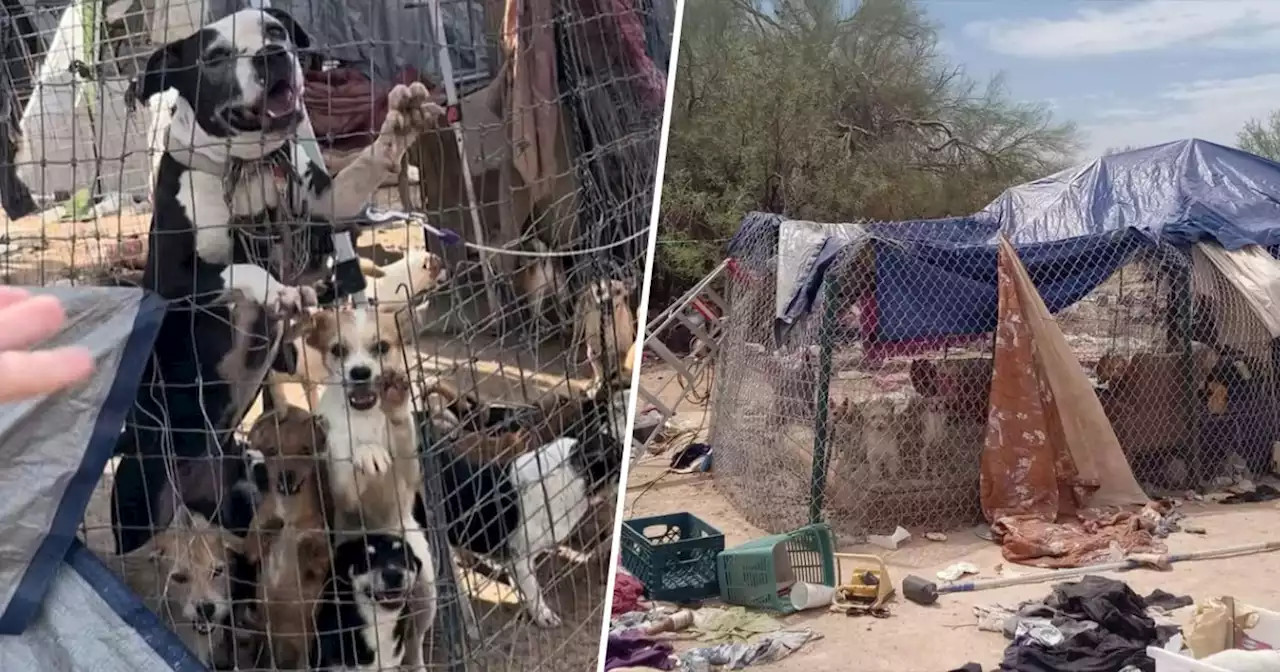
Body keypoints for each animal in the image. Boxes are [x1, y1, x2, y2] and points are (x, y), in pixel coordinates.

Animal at [111, 7, 450, 552]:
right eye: (215, 57)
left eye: (274, 31)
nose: (273, 55)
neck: (248, 167)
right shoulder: (175, 284)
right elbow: (242, 267)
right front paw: (281, 291)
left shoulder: (325, 212)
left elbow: (358, 175)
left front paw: (397, 130)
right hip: (135, 505)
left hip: (236, 493)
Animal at [417, 384, 627, 627]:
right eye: (617, 455)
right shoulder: (521, 558)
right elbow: (534, 591)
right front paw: (544, 616)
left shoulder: (517, 560)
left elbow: (524, 588)